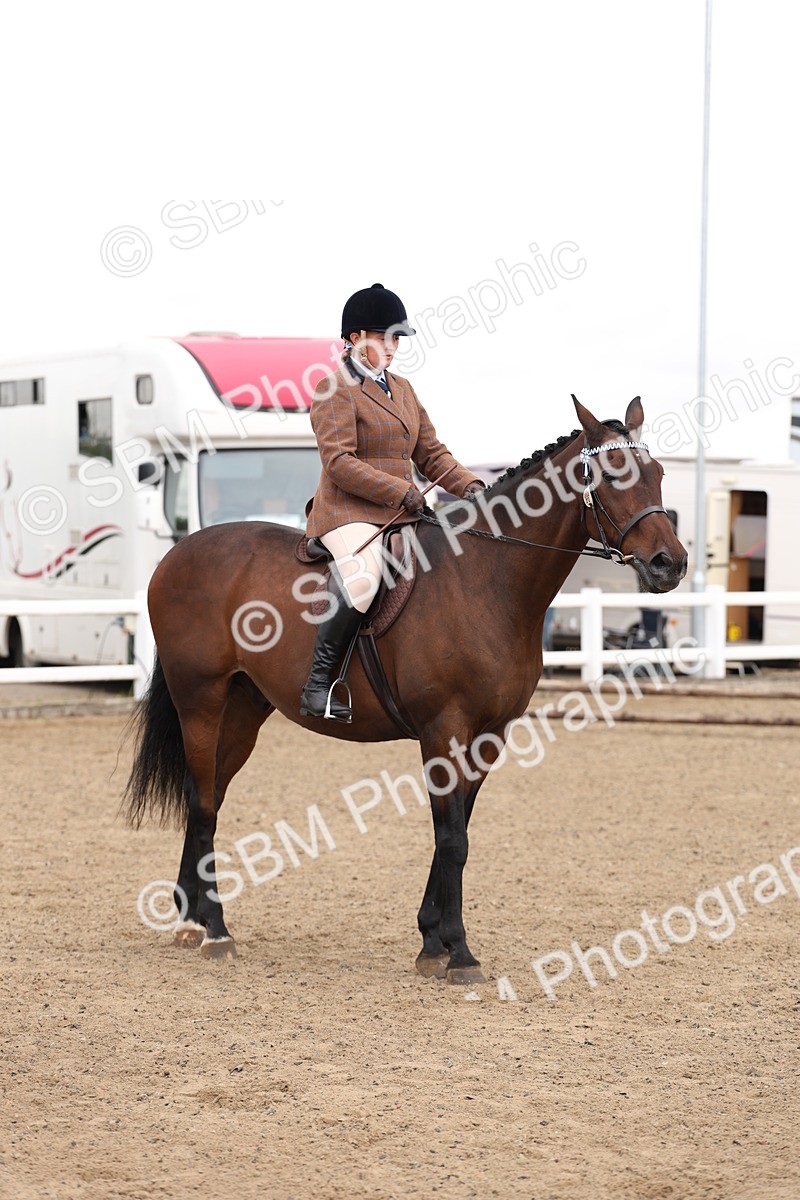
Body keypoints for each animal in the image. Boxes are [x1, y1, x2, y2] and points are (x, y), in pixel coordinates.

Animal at [123, 396, 687, 983]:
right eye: (610, 475)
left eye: (659, 474)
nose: (670, 564)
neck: (488, 581)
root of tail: (179, 552)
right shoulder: (444, 730)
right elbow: (453, 839)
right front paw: (460, 954)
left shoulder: (490, 735)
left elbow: (456, 831)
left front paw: (432, 943)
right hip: (201, 701)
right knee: (202, 799)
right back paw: (214, 931)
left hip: (242, 710)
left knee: (205, 796)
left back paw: (191, 920)